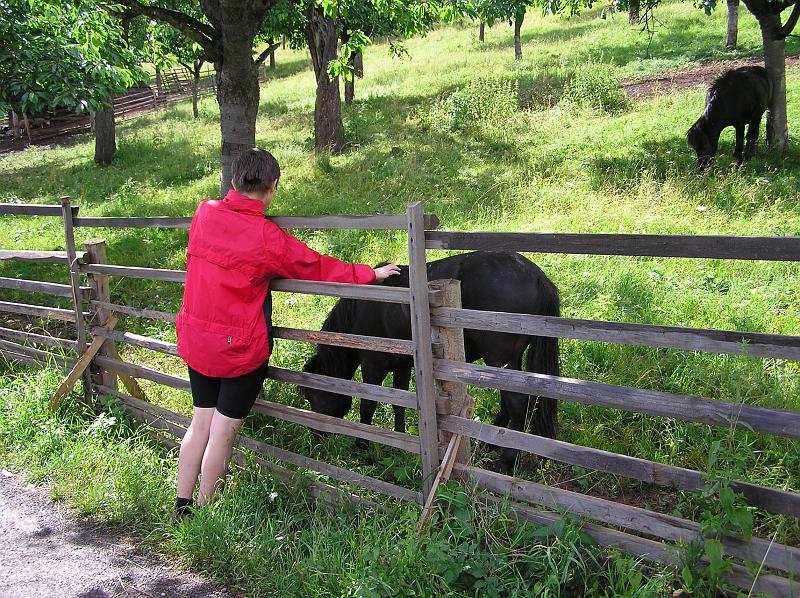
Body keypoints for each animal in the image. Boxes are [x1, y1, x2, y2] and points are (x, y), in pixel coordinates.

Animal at [296, 251, 560, 472]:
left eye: (312, 394)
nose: (315, 435)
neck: (365, 305)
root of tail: (536, 275)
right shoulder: (402, 365)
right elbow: (399, 402)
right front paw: (400, 440)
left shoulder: (374, 364)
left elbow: (368, 404)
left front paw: (361, 445)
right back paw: (492, 444)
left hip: (499, 358)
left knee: (516, 403)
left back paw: (506, 461)